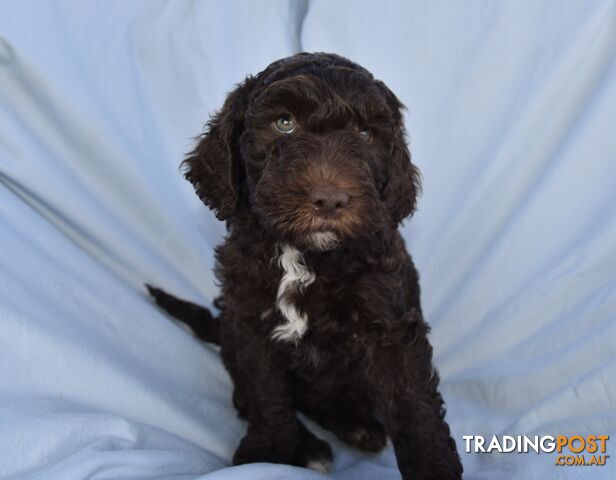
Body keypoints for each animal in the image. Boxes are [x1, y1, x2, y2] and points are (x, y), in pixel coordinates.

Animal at [149, 52, 462, 480]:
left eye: (366, 134)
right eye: (285, 123)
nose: (330, 199)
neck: (302, 256)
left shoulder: (390, 325)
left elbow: (414, 406)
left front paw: (433, 466)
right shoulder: (249, 320)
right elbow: (266, 392)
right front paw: (270, 452)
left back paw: (356, 427)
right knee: (252, 396)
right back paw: (314, 443)